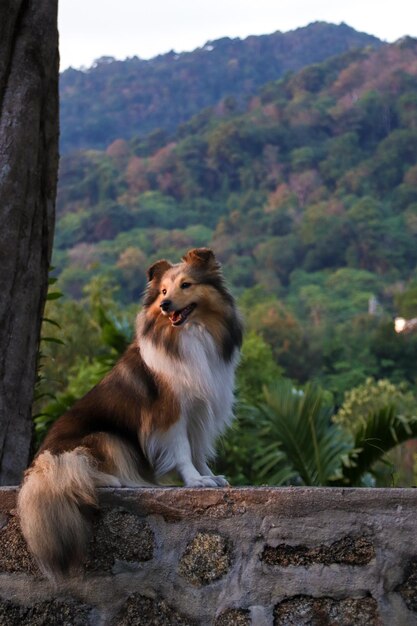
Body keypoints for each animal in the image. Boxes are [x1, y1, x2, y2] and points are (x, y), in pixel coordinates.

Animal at [17, 247, 242, 576]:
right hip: (104, 438)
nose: (165, 305)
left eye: (186, 285)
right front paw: (194, 481)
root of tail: (40, 463)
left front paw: (209, 478)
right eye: (163, 291)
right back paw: (113, 479)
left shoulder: (199, 412)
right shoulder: (170, 414)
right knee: (74, 471)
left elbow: (198, 451)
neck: (191, 334)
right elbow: (183, 451)